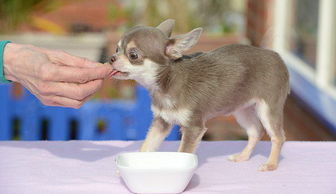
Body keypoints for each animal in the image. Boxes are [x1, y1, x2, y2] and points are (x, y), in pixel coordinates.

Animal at [109, 19, 290, 171]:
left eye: (133, 55)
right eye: (117, 49)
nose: (111, 58)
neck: (167, 83)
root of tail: (276, 56)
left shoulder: (193, 128)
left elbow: (183, 152)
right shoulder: (162, 122)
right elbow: (147, 144)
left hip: (267, 109)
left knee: (278, 137)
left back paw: (271, 164)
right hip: (241, 109)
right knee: (255, 132)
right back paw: (243, 156)